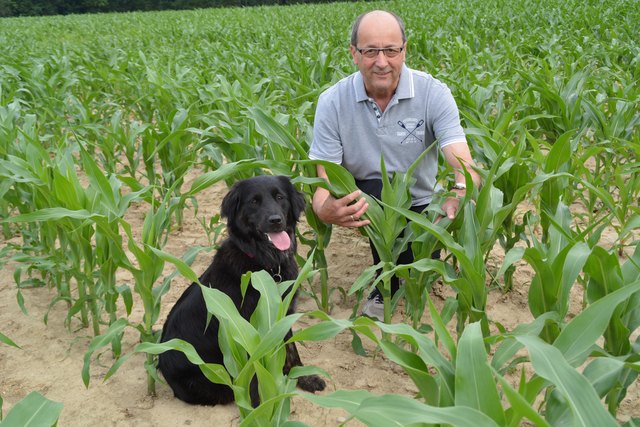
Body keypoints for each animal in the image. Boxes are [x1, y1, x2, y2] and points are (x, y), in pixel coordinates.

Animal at [156, 175, 324, 408]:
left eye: (280, 197)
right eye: (254, 201)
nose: (275, 220)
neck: (266, 264)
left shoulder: (283, 313)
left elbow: (292, 350)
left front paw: (303, 378)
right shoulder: (245, 327)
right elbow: (252, 370)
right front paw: (259, 404)